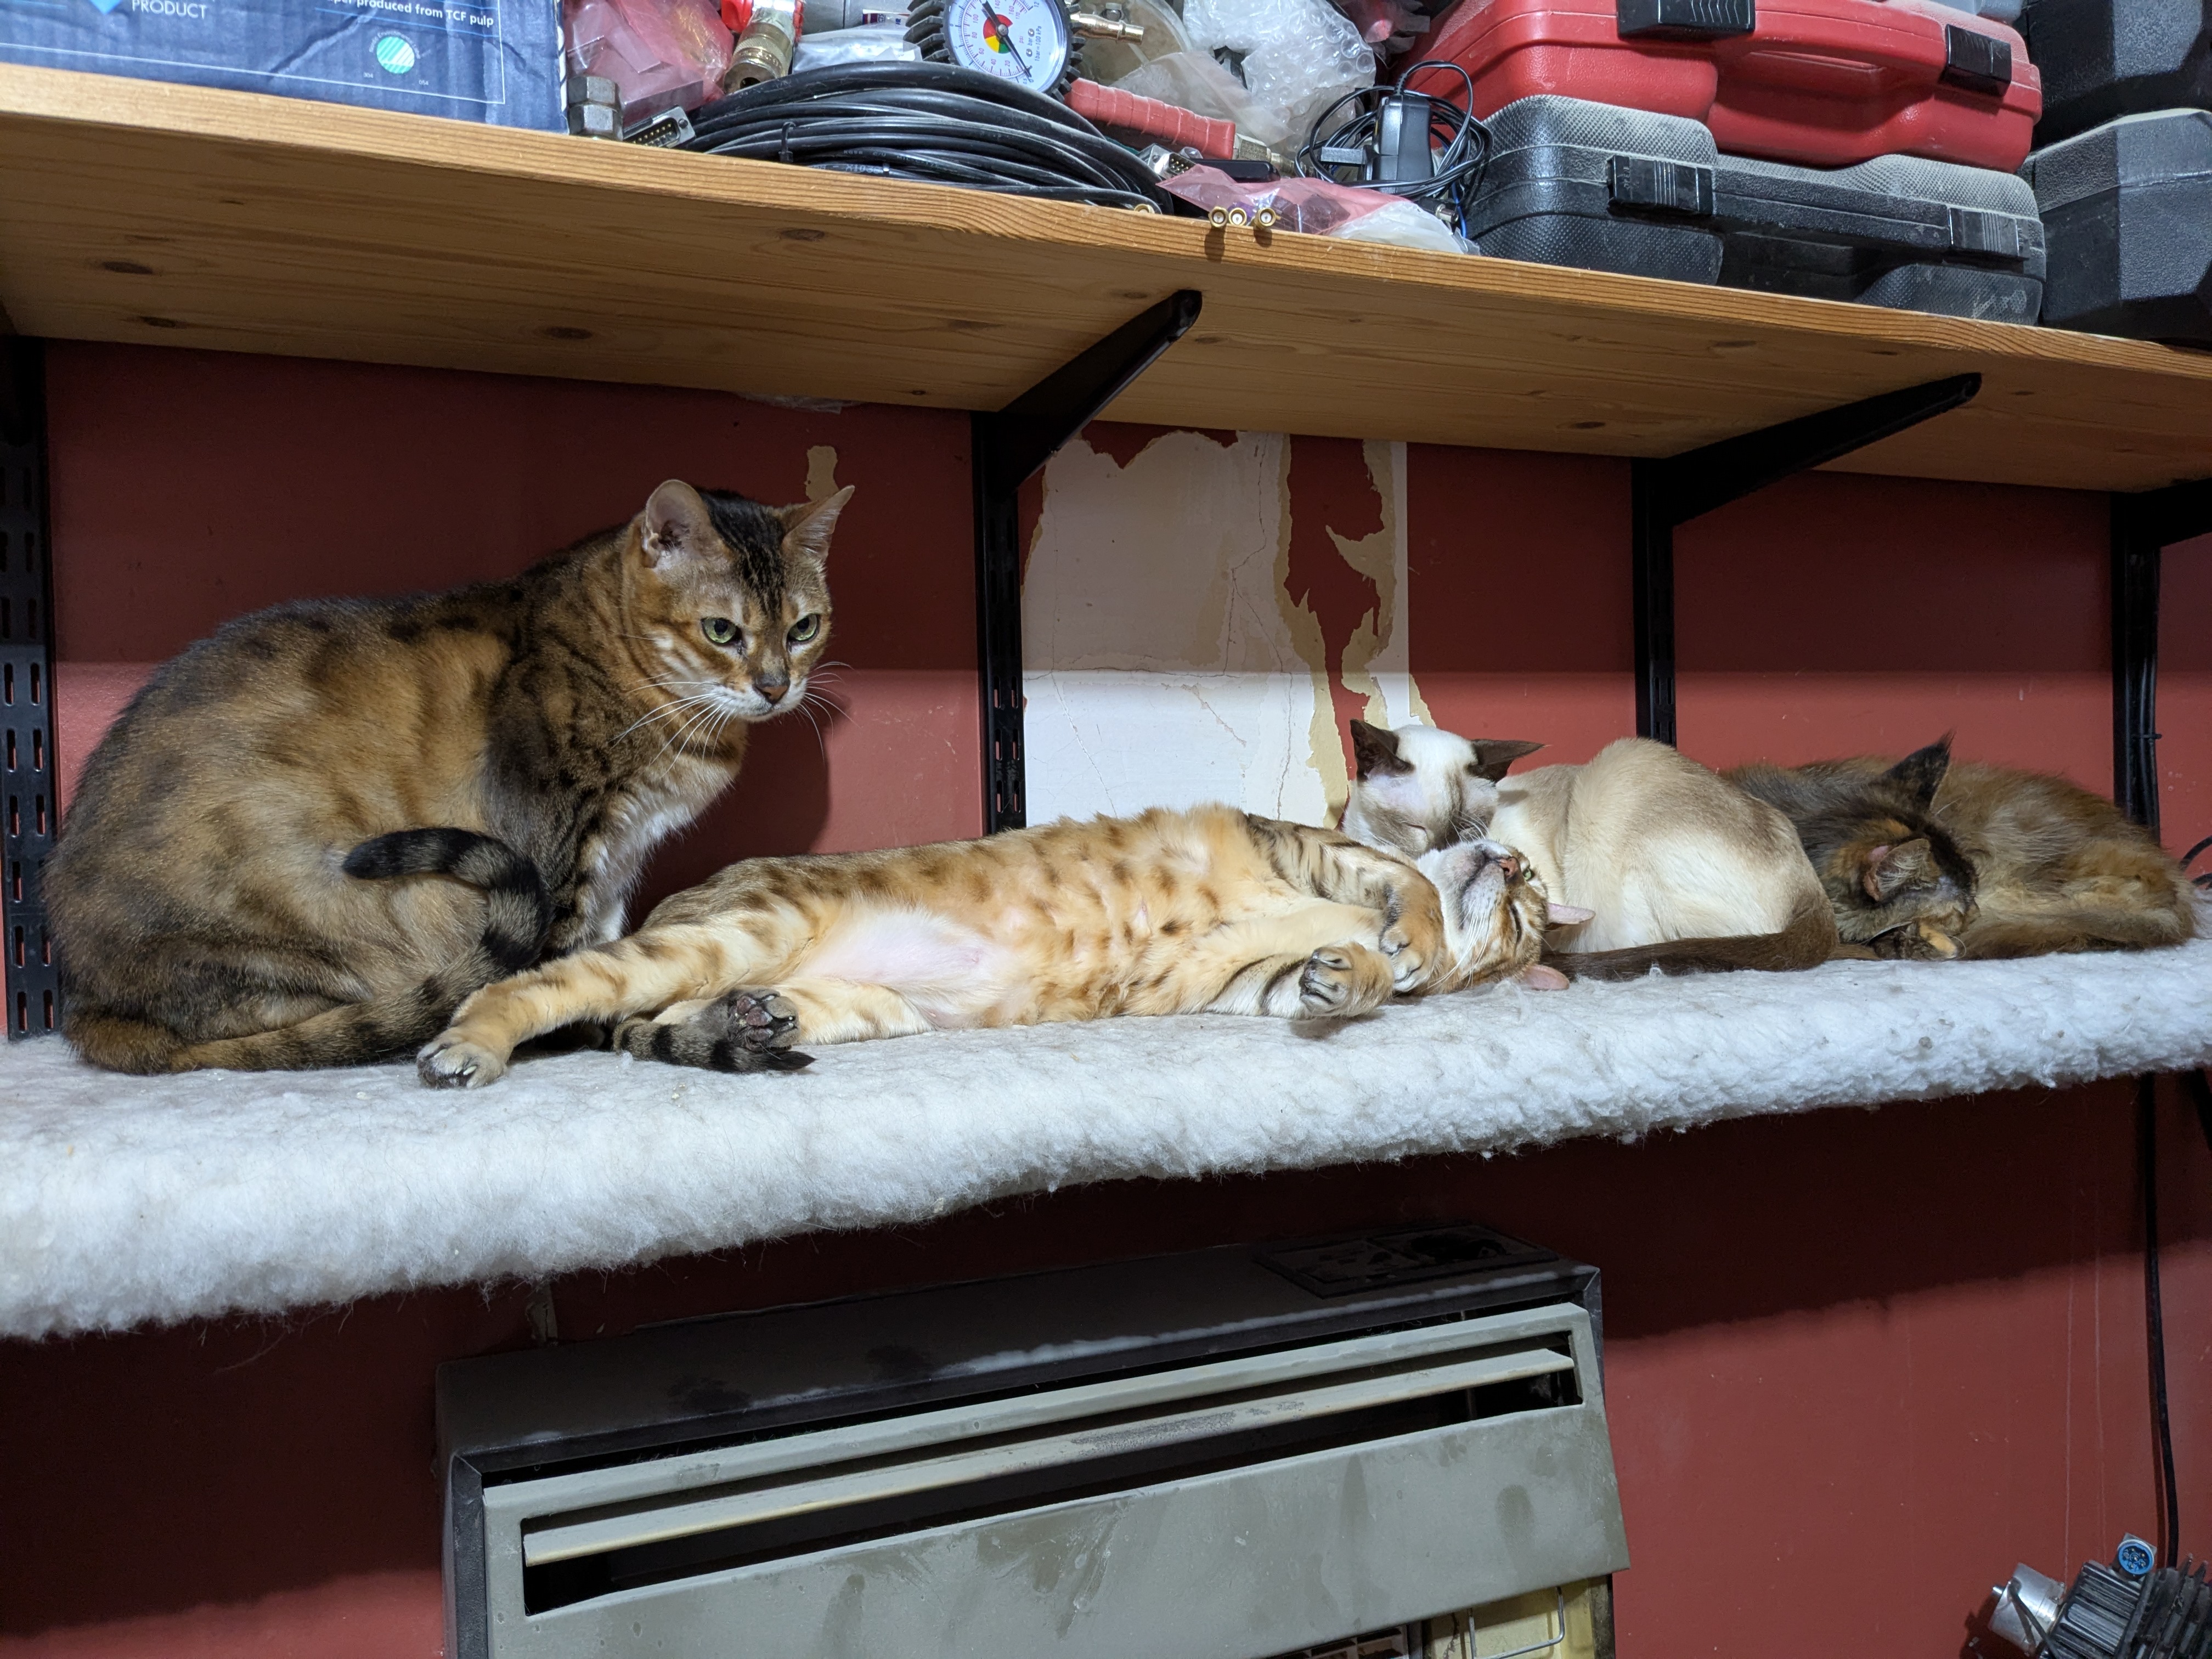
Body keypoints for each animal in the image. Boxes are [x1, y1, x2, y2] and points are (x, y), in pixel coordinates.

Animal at [45, 479, 851, 1074]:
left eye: (804, 627)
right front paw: (575, 1030)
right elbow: (566, 960)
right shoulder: (563, 841)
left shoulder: (623, 855)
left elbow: (612, 949)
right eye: (722, 630)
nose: (776, 687)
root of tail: (87, 1002)